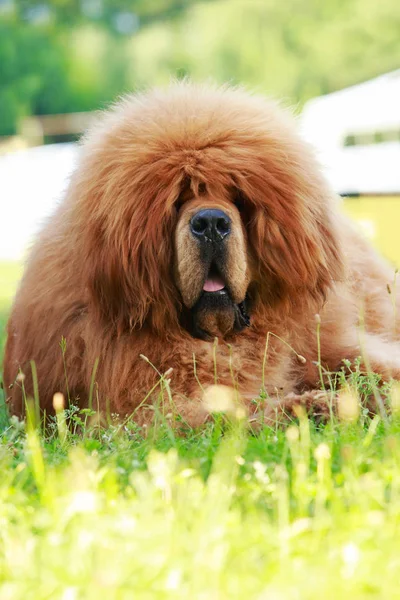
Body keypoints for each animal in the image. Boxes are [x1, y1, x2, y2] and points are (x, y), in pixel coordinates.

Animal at [3, 82, 400, 424]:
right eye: (177, 200)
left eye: (239, 197)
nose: (210, 221)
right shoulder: (146, 403)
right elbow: (228, 413)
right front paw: (314, 407)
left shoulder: (329, 341)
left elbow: (372, 368)